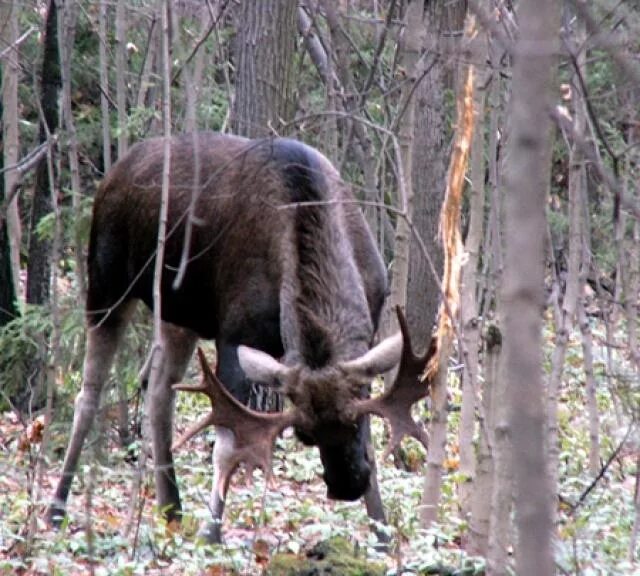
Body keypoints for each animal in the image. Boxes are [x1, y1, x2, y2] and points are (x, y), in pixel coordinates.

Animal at [46, 133, 436, 544]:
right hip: (106, 283)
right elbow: (228, 442)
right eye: (304, 435)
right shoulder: (235, 334)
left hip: (181, 312)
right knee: (89, 394)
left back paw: (171, 507)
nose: (347, 486)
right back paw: (57, 507)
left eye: (357, 419)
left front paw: (382, 532)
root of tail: (116, 171)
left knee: (158, 388)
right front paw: (211, 532)